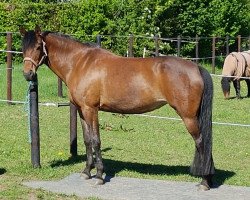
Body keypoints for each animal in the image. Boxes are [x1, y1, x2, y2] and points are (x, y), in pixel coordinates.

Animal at [19, 25, 215, 190]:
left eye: (38, 47)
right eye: (23, 47)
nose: (28, 74)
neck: (80, 63)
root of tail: (196, 67)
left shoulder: (91, 110)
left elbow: (96, 141)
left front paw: (99, 176)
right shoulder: (82, 111)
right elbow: (87, 141)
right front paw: (86, 172)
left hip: (188, 117)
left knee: (201, 142)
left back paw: (204, 182)